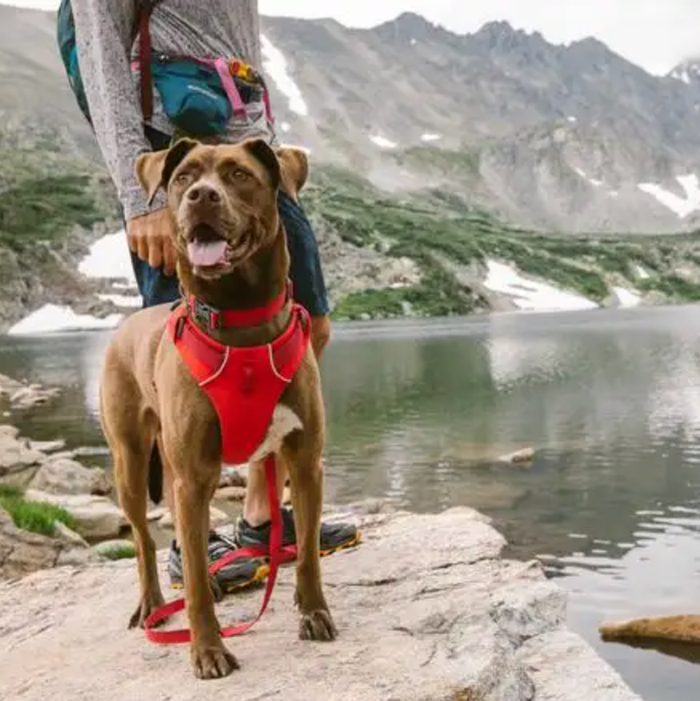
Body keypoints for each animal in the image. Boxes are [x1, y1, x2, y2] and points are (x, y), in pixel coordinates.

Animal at [98, 135, 336, 680]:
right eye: (184, 177)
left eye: (239, 175)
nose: (200, 197)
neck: (242, 322)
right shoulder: (192, 476)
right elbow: (194, 583)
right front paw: (207, 649)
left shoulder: (305, 460)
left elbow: (308, 552)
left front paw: (313, 612)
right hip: (131, 461)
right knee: (145, 541)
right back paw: (152, 604)